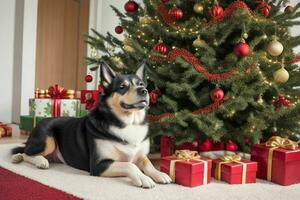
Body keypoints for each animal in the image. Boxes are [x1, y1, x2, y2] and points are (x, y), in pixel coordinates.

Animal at [11, 61, 171, 188]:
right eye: (122, 87)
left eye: (141, 84)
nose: (144, 91)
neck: (128, 123)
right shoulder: (98, 165)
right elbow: (130, 165)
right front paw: (144, 178)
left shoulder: (140, 155)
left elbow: (147, 163)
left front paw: (159, 174)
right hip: (47, 139)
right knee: (26, 153)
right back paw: (37, 160)